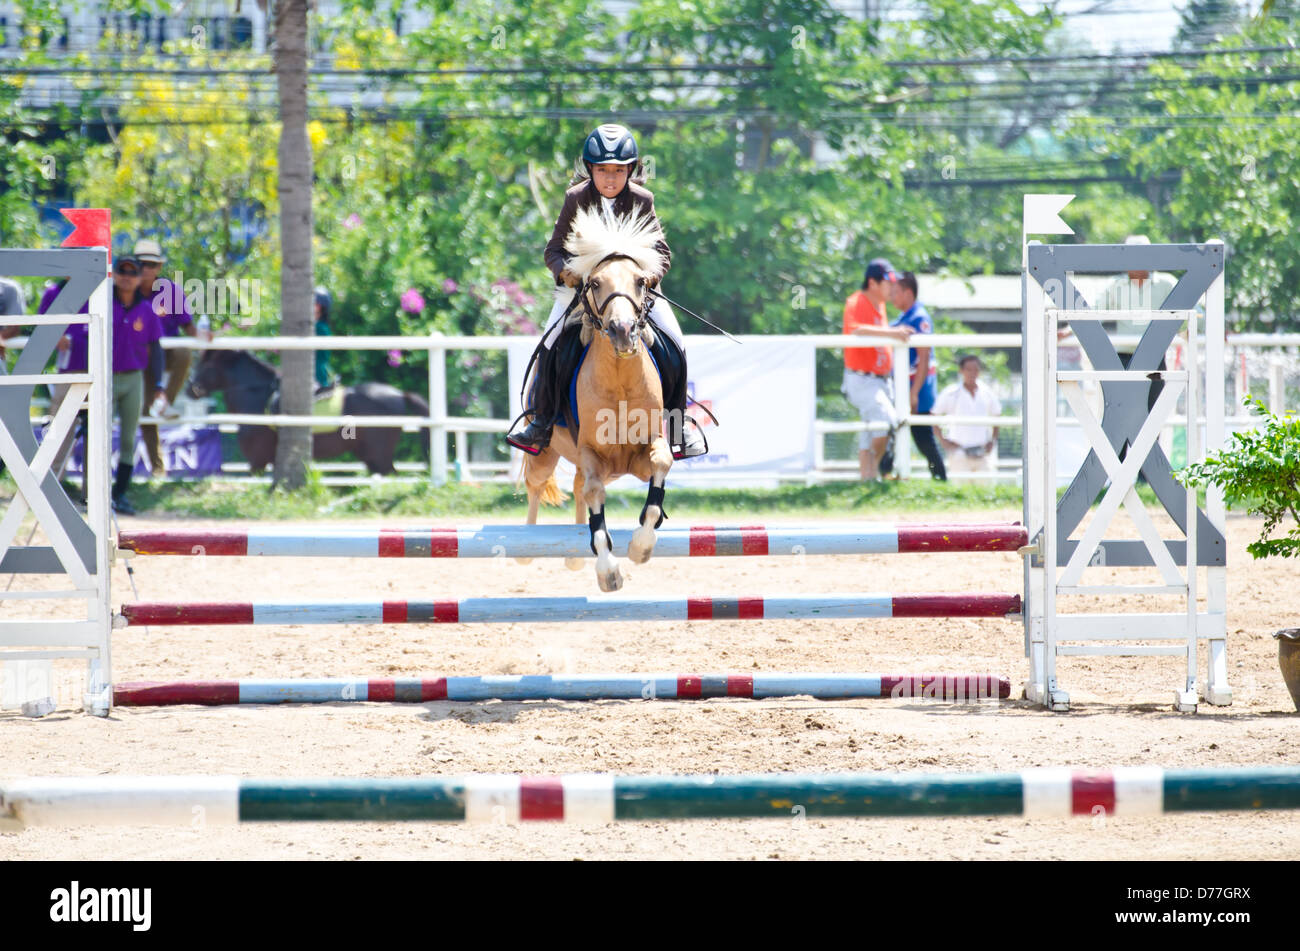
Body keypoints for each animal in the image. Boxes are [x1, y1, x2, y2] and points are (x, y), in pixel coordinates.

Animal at [188, 348, 431, 475]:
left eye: (205, 366)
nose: (190, 388)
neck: (257, 397)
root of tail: (399, 394)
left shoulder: (257, 461)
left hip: (379, 456)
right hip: (371, 457)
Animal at [522, 207, 676, 589]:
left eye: (640, 282)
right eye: (593, 283)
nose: (622, 331)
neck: (619, 381)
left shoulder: (642, 453)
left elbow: (661, 467)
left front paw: (641, 546)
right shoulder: (592, 453)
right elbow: (593, 494)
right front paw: (608, 570)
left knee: (577, 486)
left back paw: (574, 556)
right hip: (546, 452)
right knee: (538, 485)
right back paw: (526, 546)